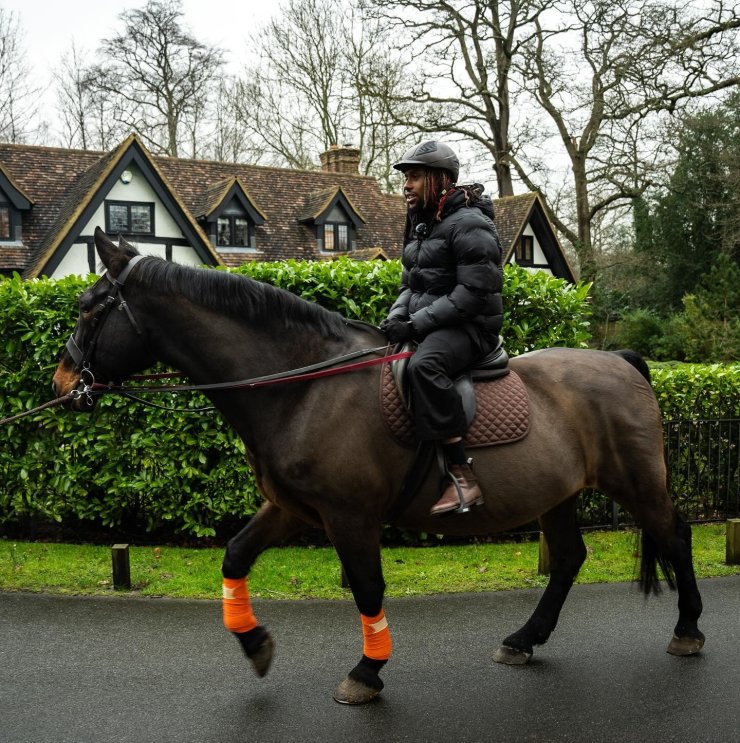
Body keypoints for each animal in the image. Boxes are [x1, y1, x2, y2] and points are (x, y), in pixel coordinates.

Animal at [53, 230, 704, 708]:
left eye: (88, 309)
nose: (61, 384)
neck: (303, 388)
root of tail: (620, 361)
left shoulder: (349, 516)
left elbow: (367, 587)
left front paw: (367, 671)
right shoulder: (293, 507)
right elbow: (235, 555)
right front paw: (255, 643)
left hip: (637, 482)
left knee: (674, 536)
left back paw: (688, 631)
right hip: (559, 494)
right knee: (569, 558)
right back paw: (524, 640)